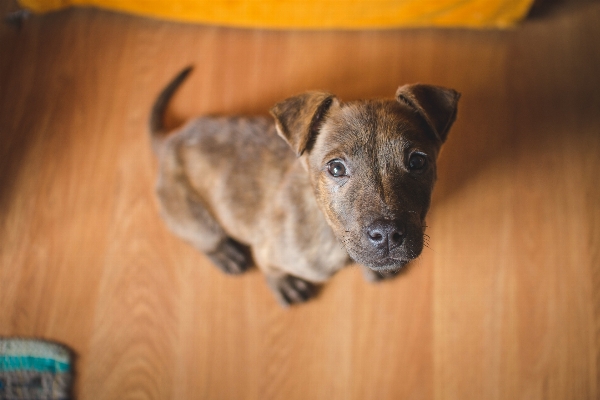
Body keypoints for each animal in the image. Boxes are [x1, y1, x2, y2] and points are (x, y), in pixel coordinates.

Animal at [150, 68, 460, 306]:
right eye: (336, 168)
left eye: (417, 161)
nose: (387, 235)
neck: (329, 228)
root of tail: (171, 140)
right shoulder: (269, 249)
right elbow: (270, 269)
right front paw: (284, 285)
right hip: (194, 220)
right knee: (205, 238)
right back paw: (225, 253)